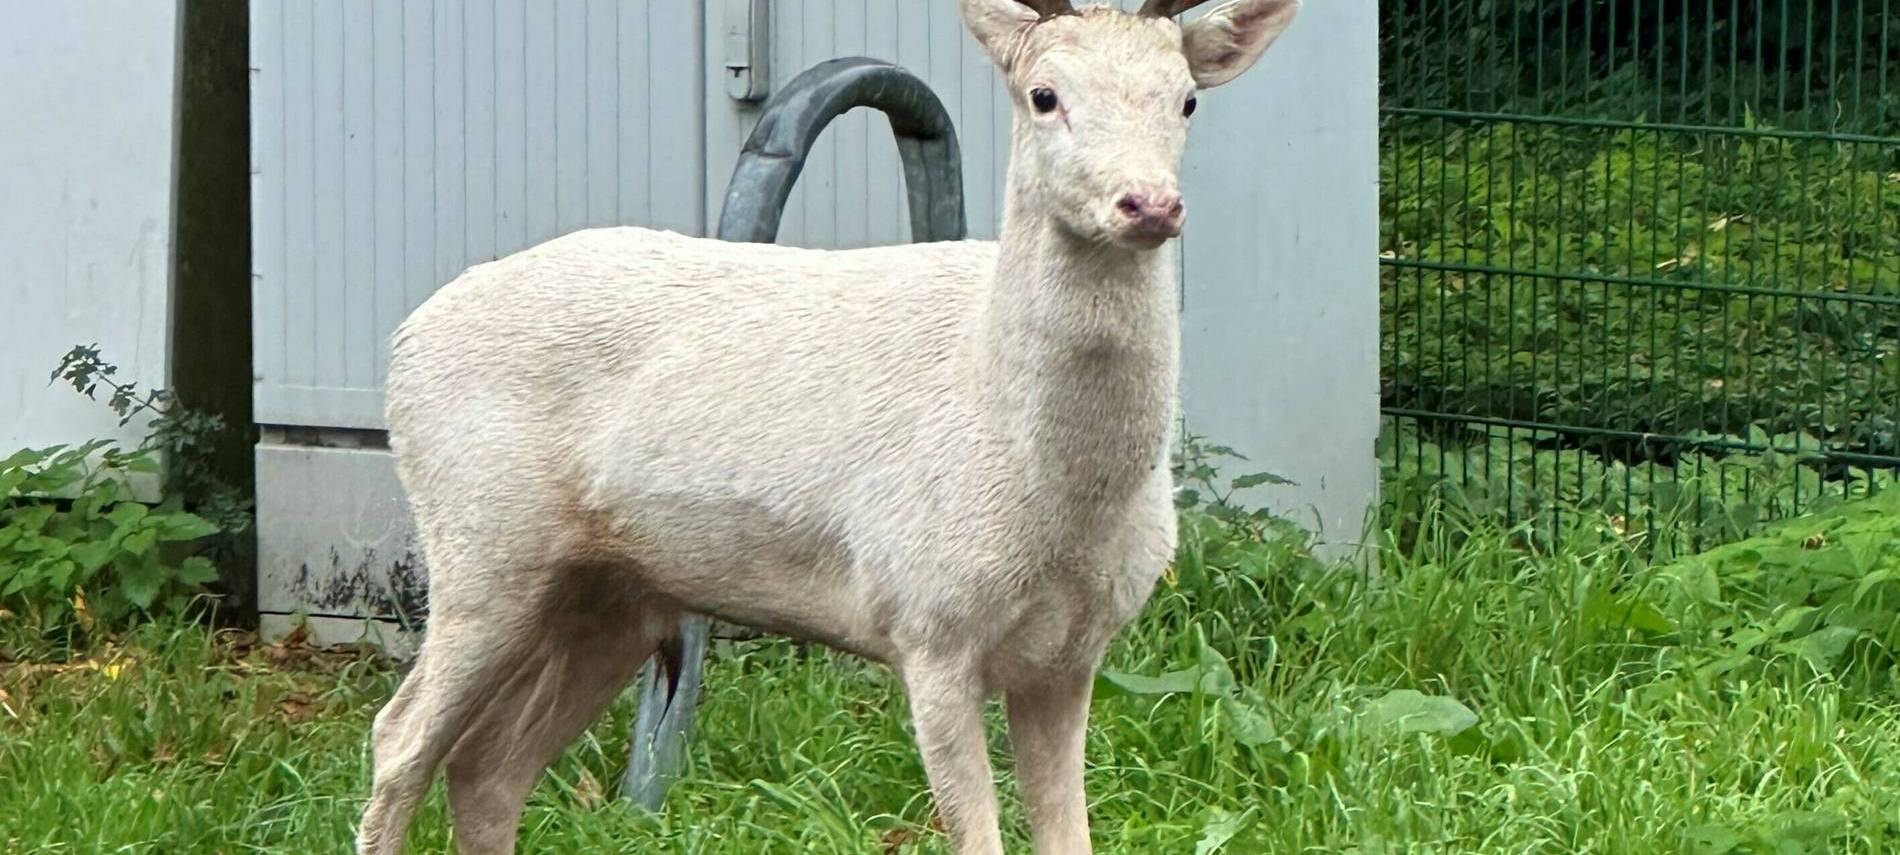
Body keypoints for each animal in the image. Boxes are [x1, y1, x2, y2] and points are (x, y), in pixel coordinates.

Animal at [355, 1, 1299, 852]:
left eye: (1187, 99)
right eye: (1044, 95)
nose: (1148, 204)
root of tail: (403, 344)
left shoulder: (1073, 654)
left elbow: (1070, 837)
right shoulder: (929, 620)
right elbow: (977, 835)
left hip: (608, 593)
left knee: (486, 765)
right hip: (482, 543)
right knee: (400, 739)